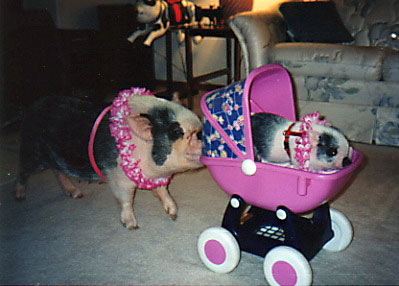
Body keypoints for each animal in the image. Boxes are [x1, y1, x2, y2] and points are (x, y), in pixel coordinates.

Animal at [15, 88, 203, 229]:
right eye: (176, 131)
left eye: (199, 128)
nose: (203, 140)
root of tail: (31, 108)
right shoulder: (117, 178)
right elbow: (126, 199)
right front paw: (132, 226)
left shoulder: (154, 177)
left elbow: (163, 191)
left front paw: (173, 214)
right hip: (31, 153)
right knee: (22, 171)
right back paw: (20, 197)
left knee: (57, 172)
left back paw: (76, 194)